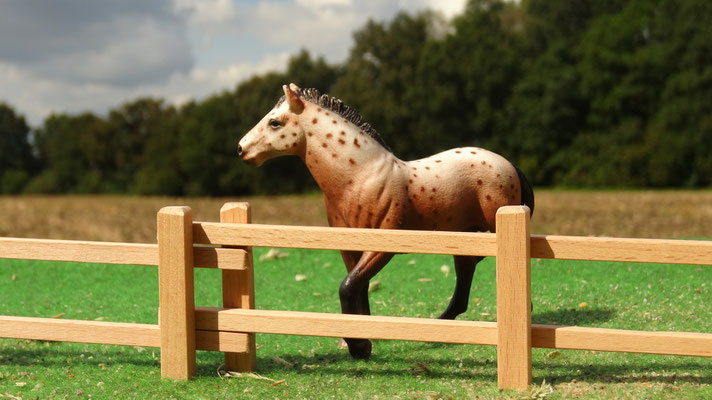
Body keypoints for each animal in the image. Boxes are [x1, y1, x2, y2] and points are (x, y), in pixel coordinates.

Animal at [239, 83, 536, 360]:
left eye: (274, 122)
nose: (241, 149)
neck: (361, 177)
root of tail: (510, 165)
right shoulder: (350, 248)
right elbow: (359, 287)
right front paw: (361, 337)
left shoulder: (382, 248)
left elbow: (348, 287)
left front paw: (359, 347)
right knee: (464, 280)